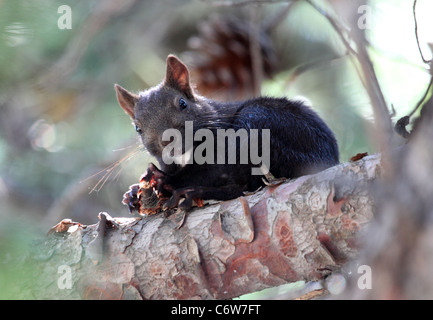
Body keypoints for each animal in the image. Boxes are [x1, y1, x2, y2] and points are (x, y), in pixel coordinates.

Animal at [114, 54, 338, 214]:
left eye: (182, 103)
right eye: (138, 128)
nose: (168, 140)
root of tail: (329, 159)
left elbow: (212, 171)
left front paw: (163, 180)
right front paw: (132, 193)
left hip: (258, 121)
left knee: (244, 184)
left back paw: (191, 192)